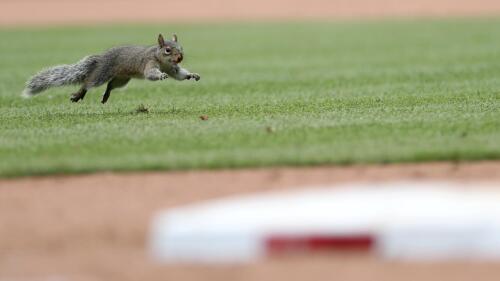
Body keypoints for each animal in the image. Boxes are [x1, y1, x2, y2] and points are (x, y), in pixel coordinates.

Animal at [22, 33, 200, 103]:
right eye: (167, 50)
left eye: (181, 47)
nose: (180, 57)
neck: (163, 61)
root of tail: (102, 58)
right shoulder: (149, 63)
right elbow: (150, 74)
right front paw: (160, 76)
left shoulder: (172, 68)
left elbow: (179, 74)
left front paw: (192, 75)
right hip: (102, 74)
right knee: (88, 83)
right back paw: (79, 94)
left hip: (122, 79)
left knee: (110, 85)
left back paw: (106, 96)